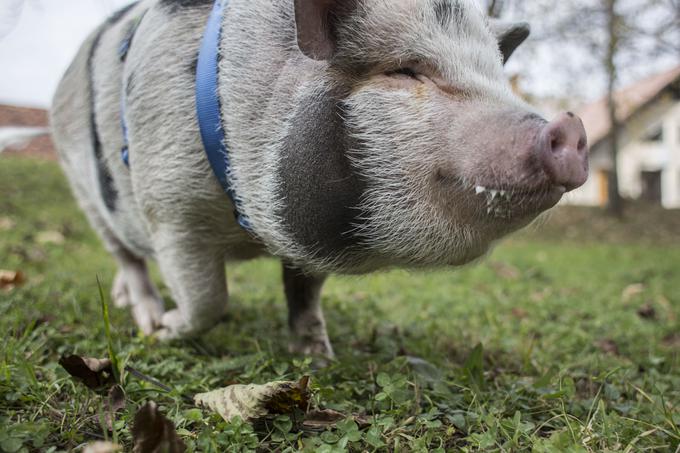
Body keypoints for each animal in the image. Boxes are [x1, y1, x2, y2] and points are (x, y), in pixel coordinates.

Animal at [50, 0, 588, 358]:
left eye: (498, 77)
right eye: (406, 70)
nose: (569, 127)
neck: (250, 223)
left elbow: (305, 295)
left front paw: (318, 357)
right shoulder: (172, 210)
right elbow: (208, 300)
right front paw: (165, 329)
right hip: (84, 190)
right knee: (126, 256)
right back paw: (143, 314)